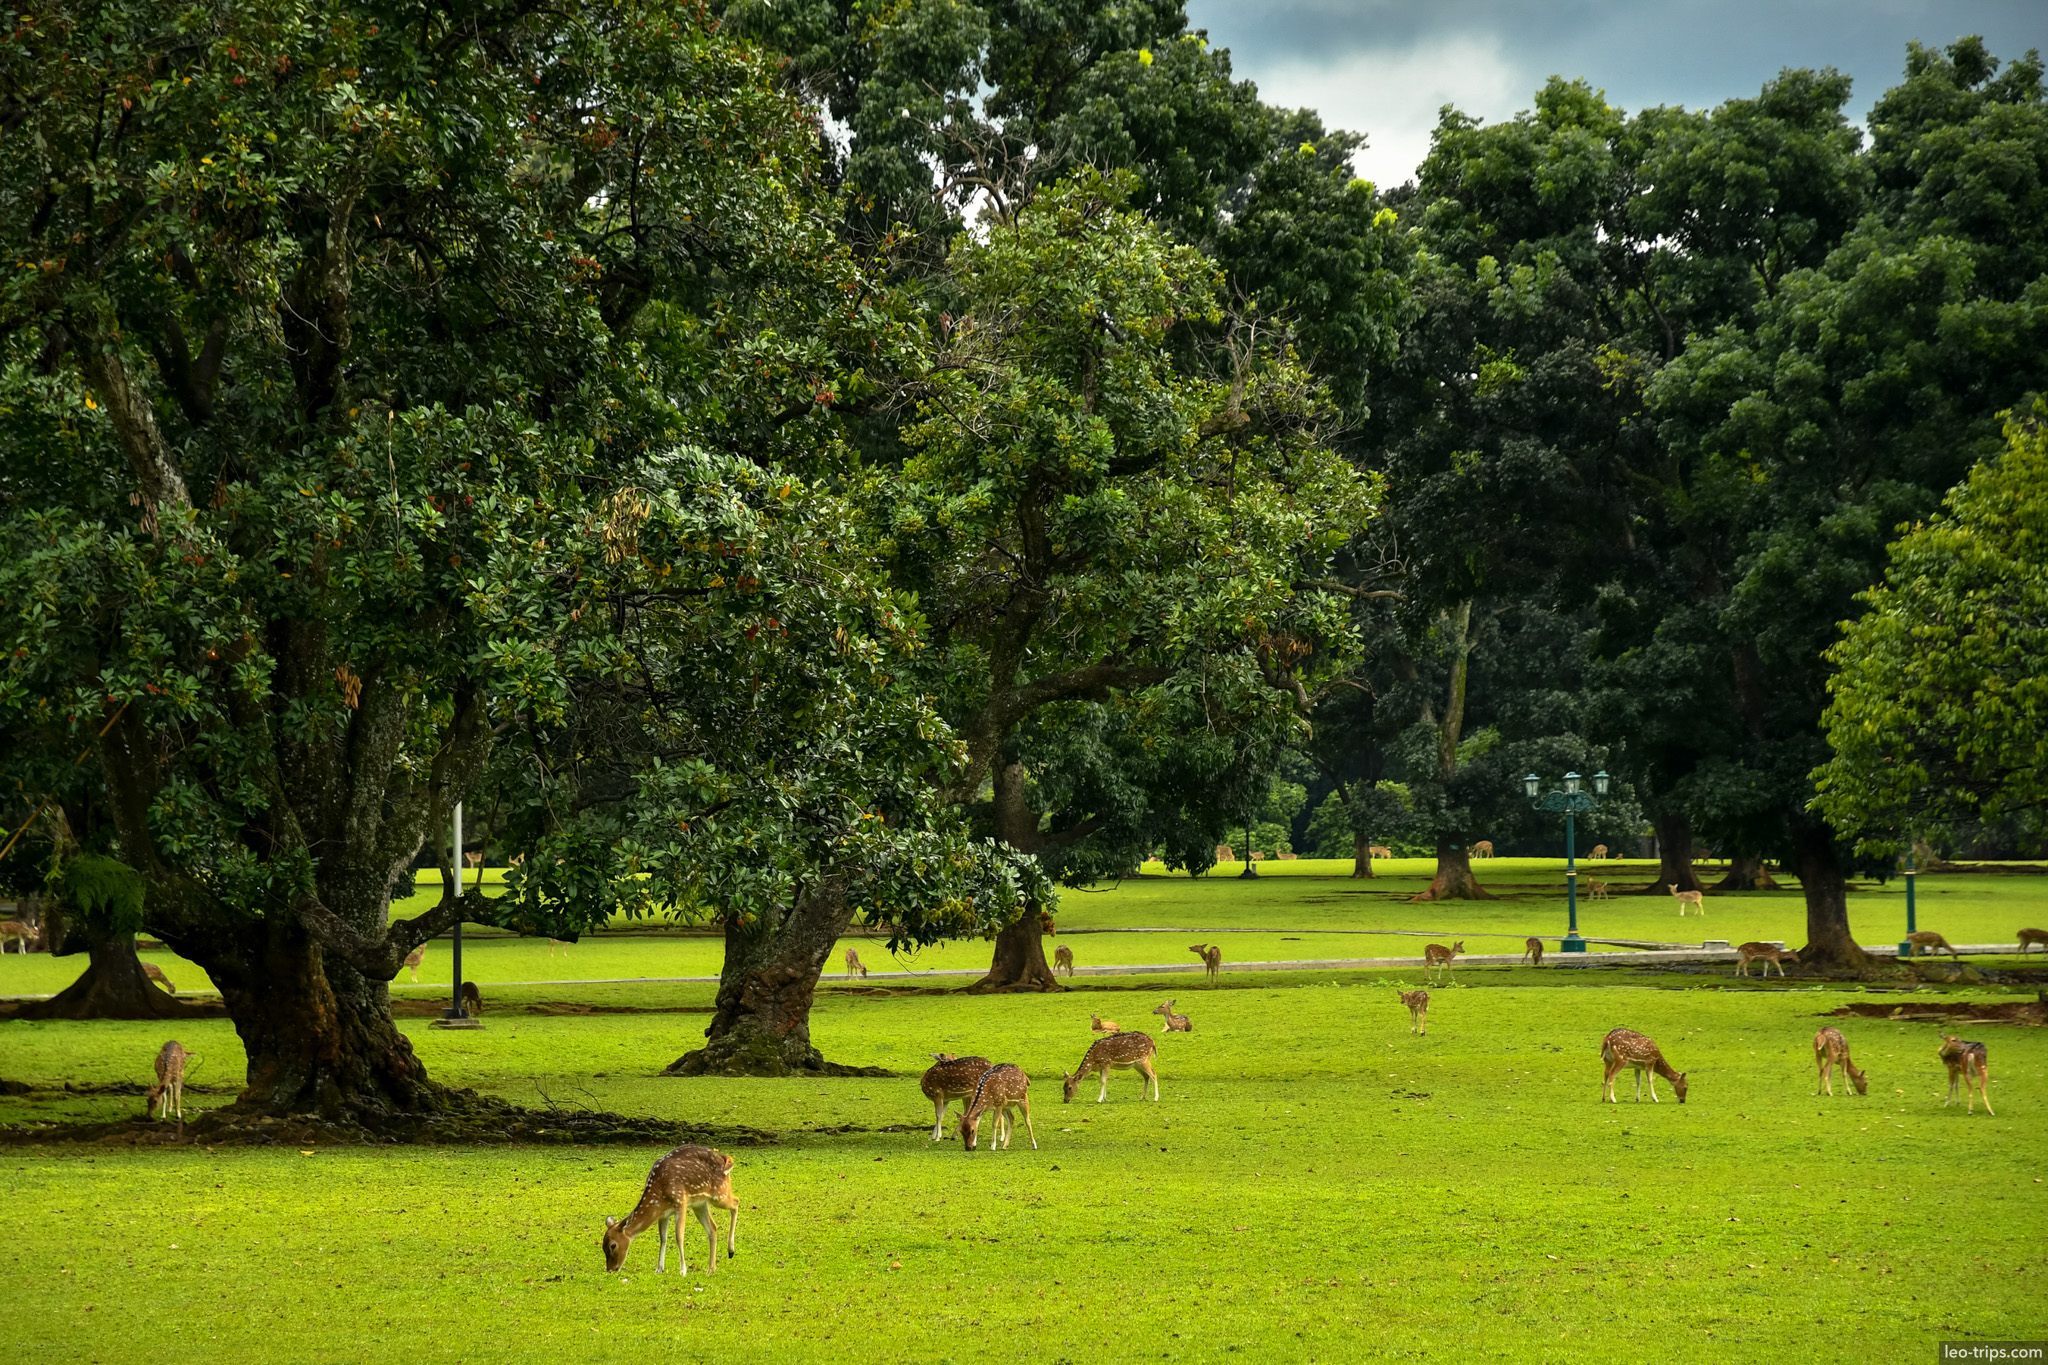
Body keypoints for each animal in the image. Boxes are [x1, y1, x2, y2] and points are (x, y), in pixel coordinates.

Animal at [602, 1144, 740, 1276]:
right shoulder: (663, 1214)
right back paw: (711, 1270)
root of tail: (723, 1158)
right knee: (713, 1227)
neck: (659, 1194)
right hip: (700, 1204)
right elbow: (663, 1238)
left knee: (736, 1202)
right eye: (603, 1246)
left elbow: (679, 1236)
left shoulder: (681, 1203)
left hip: (719, 1193)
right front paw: (659, 1269)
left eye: (613, 1245)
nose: (610, 1269)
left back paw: (731, 1250)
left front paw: (683, 1270)